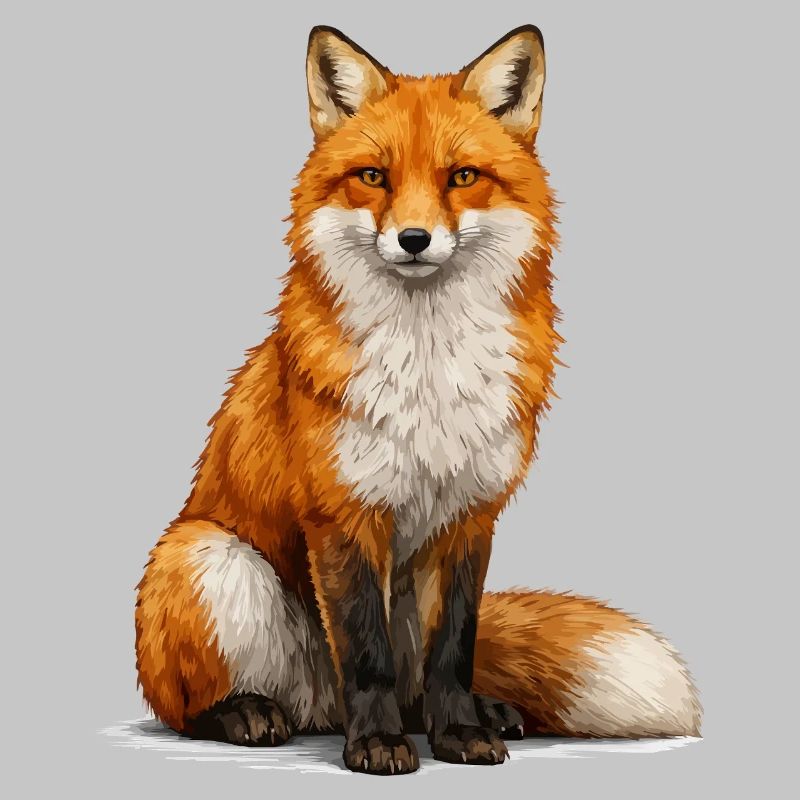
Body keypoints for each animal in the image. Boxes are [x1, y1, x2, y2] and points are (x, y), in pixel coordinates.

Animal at [135, 24, 701, 775]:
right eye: (374, 177)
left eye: (461, 177)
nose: (412, 239)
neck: (430, 368)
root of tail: (317, 707)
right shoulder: (343, 514)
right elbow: (365, 652)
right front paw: (376, 745)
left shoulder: (470, 515)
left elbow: (453, 651)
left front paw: (459, 731)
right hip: (208, 557)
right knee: (190, 706)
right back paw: (247, 712)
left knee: (419, 685)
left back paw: (471, 713)